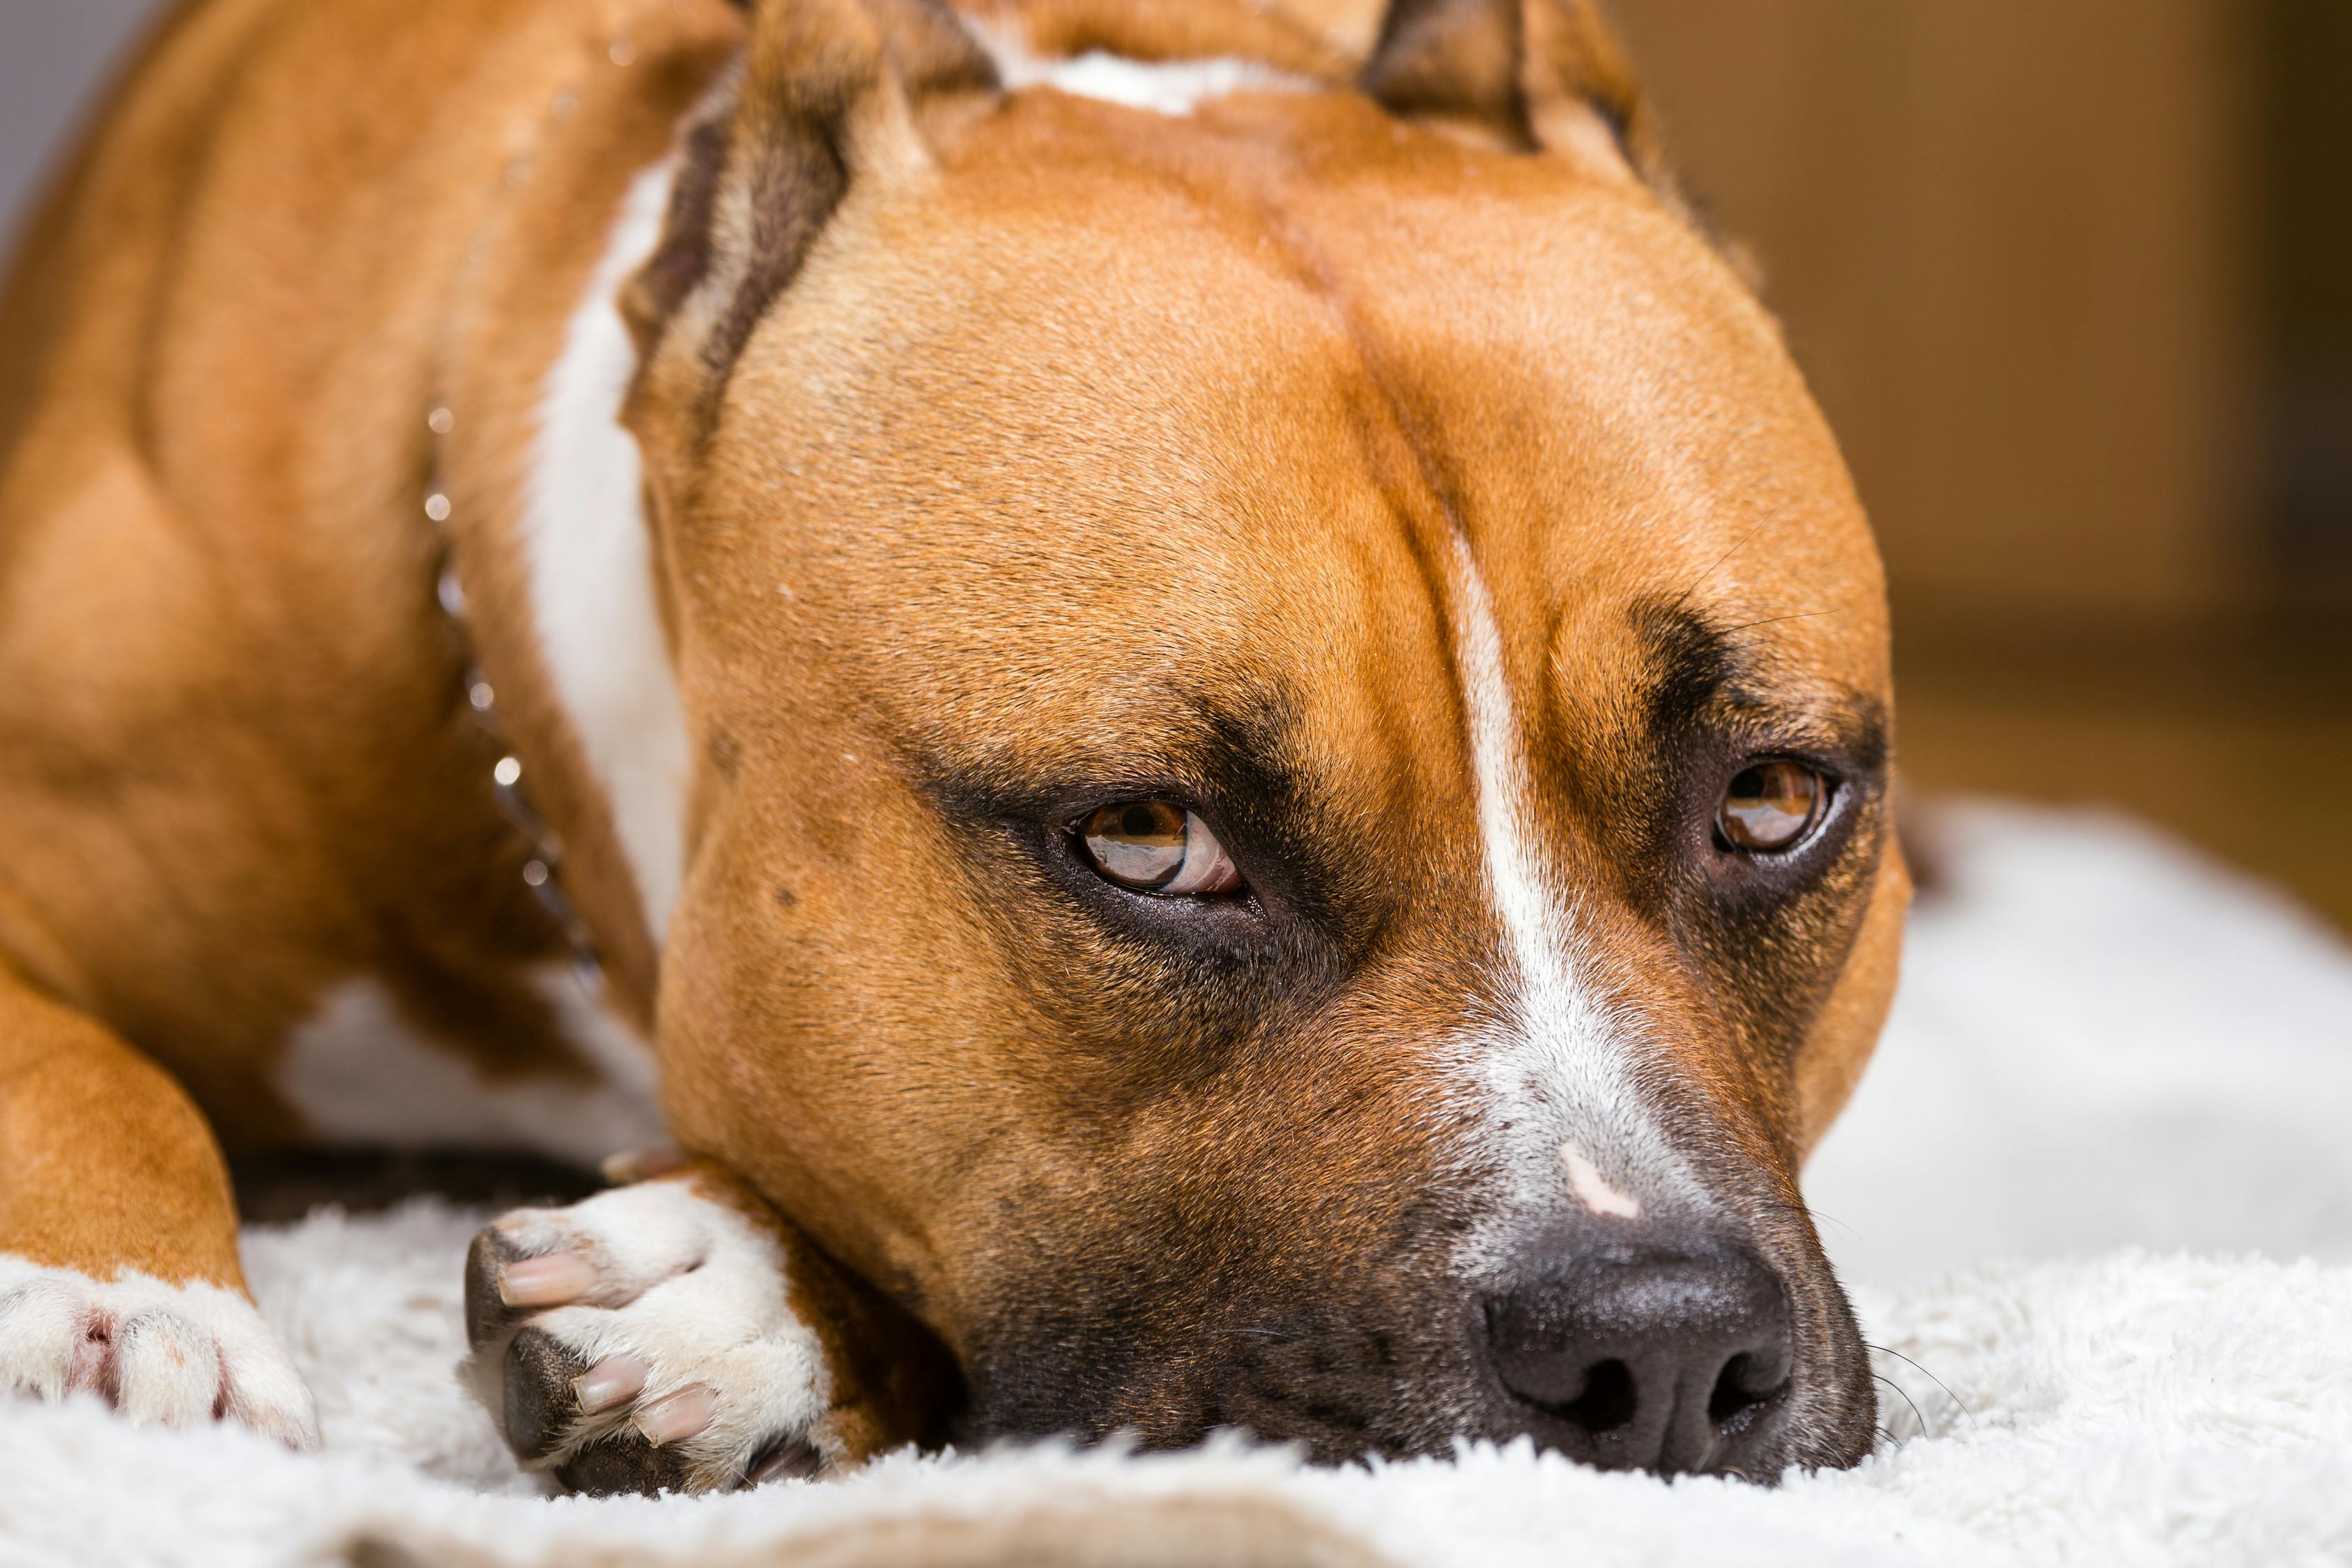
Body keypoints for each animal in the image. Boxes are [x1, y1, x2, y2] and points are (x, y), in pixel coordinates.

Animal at [0, 0, 1909, 1495]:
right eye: (1148, 841)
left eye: (1772, 802)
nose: (1657, 1347)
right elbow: (84, 1065)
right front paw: (126, 1306)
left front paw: (746, 1295)